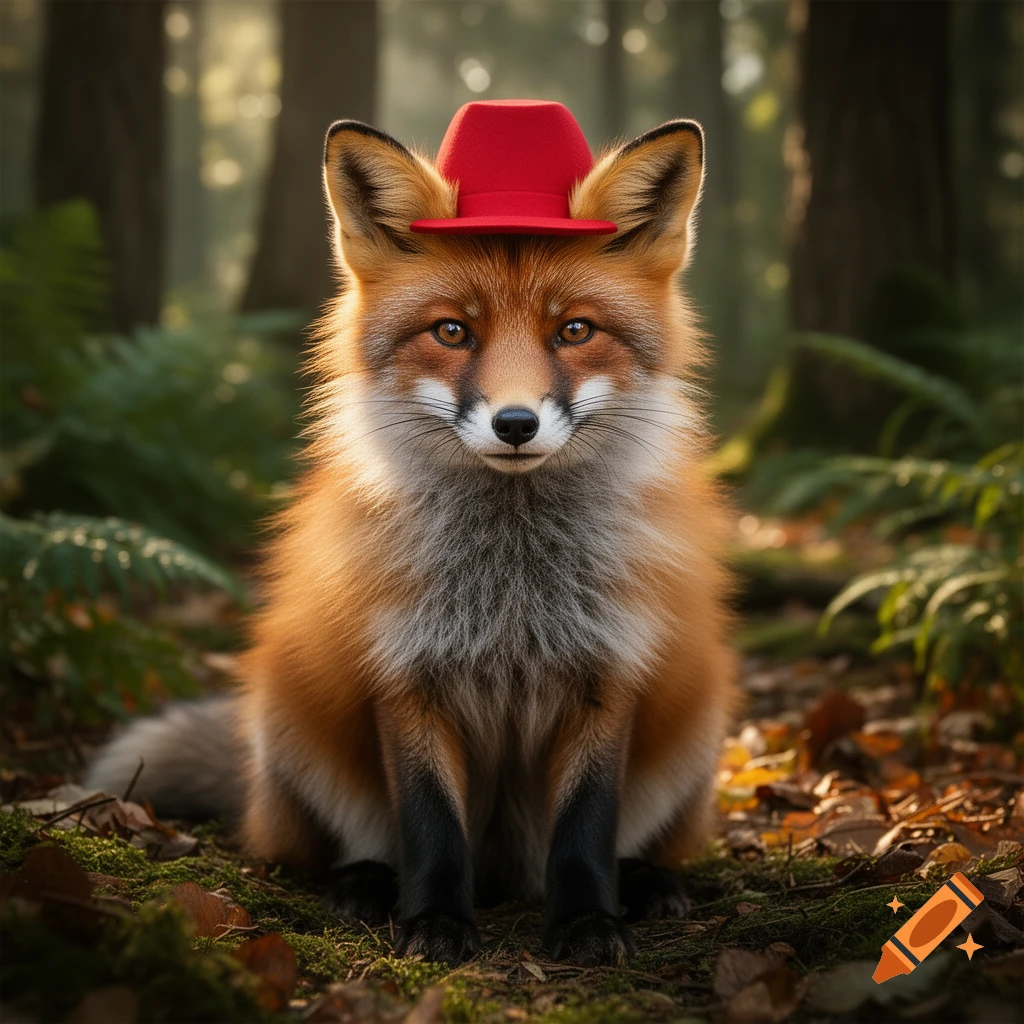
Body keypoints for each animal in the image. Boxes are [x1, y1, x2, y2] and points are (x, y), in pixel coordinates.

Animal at [88, 109, 736, 966]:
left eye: (574, 330)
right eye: (453, 332)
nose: (516, 423)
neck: (512, 589)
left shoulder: (610, 673)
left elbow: (585, 830)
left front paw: (587, 923)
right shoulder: (404, 675)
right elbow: (430, 829)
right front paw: (432, 922)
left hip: (697, 721)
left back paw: (646, 881)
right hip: (292, 716)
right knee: (331, 844)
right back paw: (363, 885)